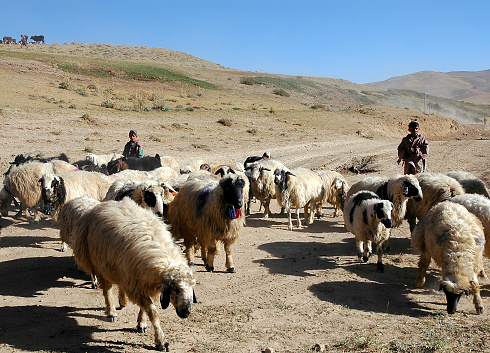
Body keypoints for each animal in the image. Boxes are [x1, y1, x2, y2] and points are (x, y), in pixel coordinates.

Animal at [71, 198, 197, 350]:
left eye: (192, 287)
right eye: (175, 288)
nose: (186, 312)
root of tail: (104, 204)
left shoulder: (141, 282)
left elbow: (144, 309)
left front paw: (141, 323)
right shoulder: (138, 284)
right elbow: (153, 313)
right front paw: (161, 340)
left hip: (119, 265)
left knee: (120, 283)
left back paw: (122, 300)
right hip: (100, 262)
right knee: (107, 289)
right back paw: (111, 312)